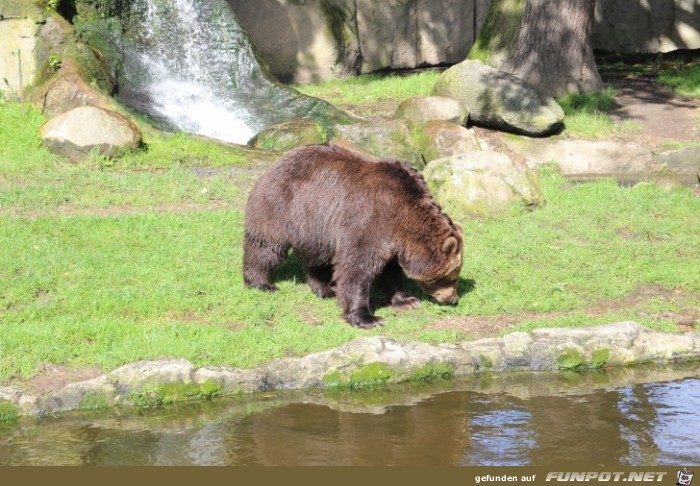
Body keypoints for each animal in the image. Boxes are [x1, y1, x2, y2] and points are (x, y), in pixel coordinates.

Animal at [242, 142, 464, 328]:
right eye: (452, 276)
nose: (453, 299)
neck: (403, 217)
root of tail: (279, 160)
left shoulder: (391, 237)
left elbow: (390, 270)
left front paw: (407, 300)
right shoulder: (370, 220)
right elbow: (357, 268)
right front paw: (368, 318)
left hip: (315, 226)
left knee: (317, 259)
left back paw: (325, 289)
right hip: (280, 206)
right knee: (266, 246)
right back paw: (262, 283)